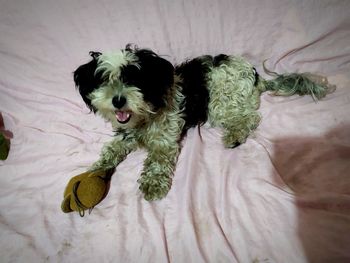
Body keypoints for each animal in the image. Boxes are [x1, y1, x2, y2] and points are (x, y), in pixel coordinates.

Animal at [72, 44, 332, 202]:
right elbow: (110, 151)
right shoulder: (125, 135)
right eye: (104, 80)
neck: (145, 116)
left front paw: (153, 184)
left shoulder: (165, 142)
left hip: (220, 104)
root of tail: (256, 77)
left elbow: (157, 162)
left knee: (250, 117)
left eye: (134, 79)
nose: (118, 101)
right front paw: (95, 171)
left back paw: (235, 136)